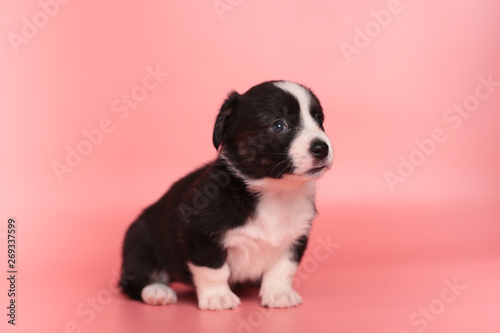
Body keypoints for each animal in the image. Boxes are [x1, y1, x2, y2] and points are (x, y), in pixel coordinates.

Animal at [119, 80, 334, 308]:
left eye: (318, 119)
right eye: (278, 125)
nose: (321, 148)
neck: (275, 190)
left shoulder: (295, 237)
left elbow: (282, 269)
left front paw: (278, 293)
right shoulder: (199, 233)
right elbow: (214, 269)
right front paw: (218, 296)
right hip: (138, 242)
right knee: (134, 278)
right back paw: (157, 290)